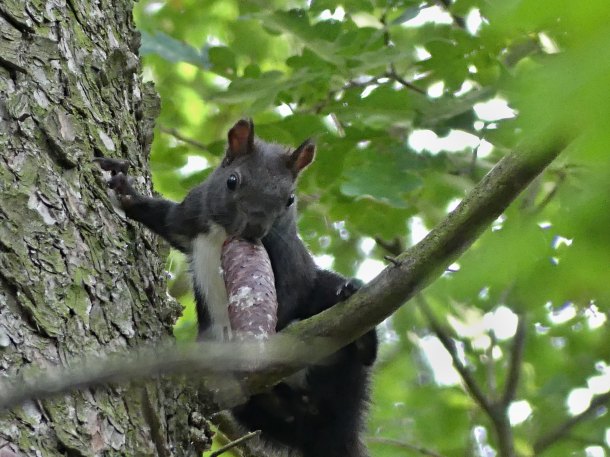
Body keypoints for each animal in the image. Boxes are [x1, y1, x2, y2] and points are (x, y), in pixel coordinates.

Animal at [94, 119, 376, 456]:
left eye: (290, 199)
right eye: (232, 181)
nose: (254, 227)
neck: (223, 233)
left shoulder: (287, 265)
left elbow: (286, 299)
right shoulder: (188, 219)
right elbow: (163, 218)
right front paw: (124, 189)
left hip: (329, 311)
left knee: (359, 351)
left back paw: (354, 312)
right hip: (257, 405)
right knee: (281, 414)